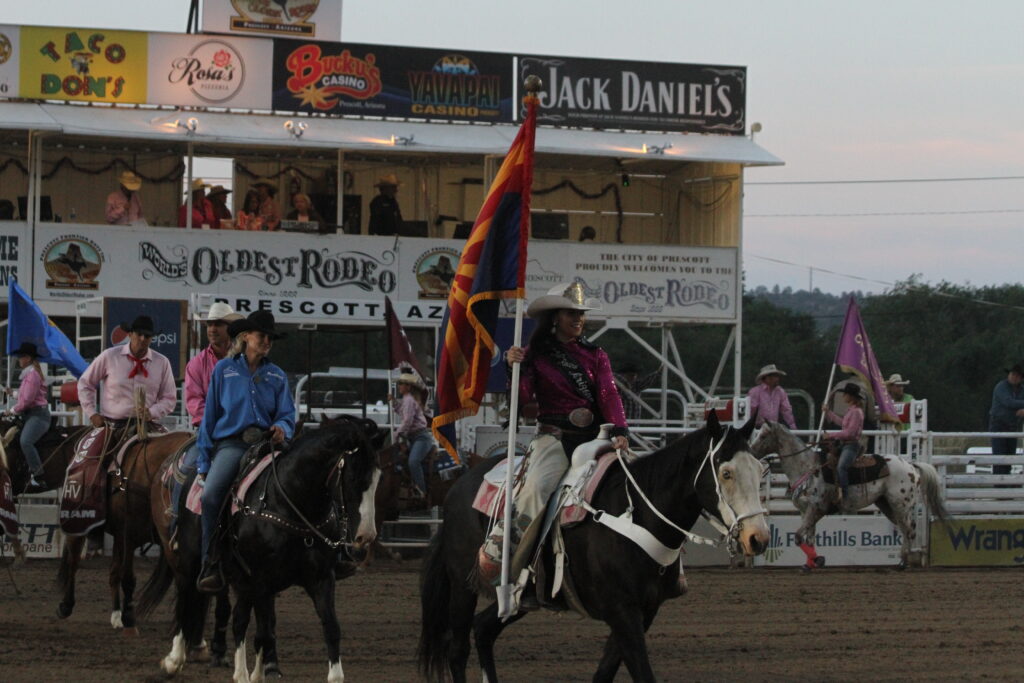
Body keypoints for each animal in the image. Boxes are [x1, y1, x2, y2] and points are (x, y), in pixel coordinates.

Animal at [56, 430, 192, 634]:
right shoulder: (128, 537)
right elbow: (128, 578)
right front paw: (129, 616)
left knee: (113, 573)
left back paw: (116, 614)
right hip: (79, 525)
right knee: (73, 563)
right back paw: (66, 605)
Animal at [134, 417, 378, 683]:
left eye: (377, 480)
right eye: (353, 479)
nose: (366, 537)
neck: (288, 502)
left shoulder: (320, 578)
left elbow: (329, 627)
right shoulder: (257, 580)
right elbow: (253, 627)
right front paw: (249, 674)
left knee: (245, 620)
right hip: (189, 562)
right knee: (186, 599)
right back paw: (174, 660)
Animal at [415, 411, 770, 683]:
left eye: (760, 469)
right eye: (726, 472)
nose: (759, 537)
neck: (636, 514)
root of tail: (458, 486)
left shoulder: (643, 611)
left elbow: (604, 674)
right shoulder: (621, 610)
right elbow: (643, 674)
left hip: (519, 595)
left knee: (484, 630)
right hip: (463, 585)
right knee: (458, 649)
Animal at [745, 421, 950, 573]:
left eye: (763, 436)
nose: (751, 453)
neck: (807, 468)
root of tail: (910, 466)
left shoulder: (815, 508)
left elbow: (797, 537)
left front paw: (818, 560)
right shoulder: (806, 512)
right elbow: (808, 538)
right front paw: (810, 563)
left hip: (901, 505)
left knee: (909, 530)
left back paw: (902, 563)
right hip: (886, 504)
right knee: (904, 529)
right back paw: (901, 561)